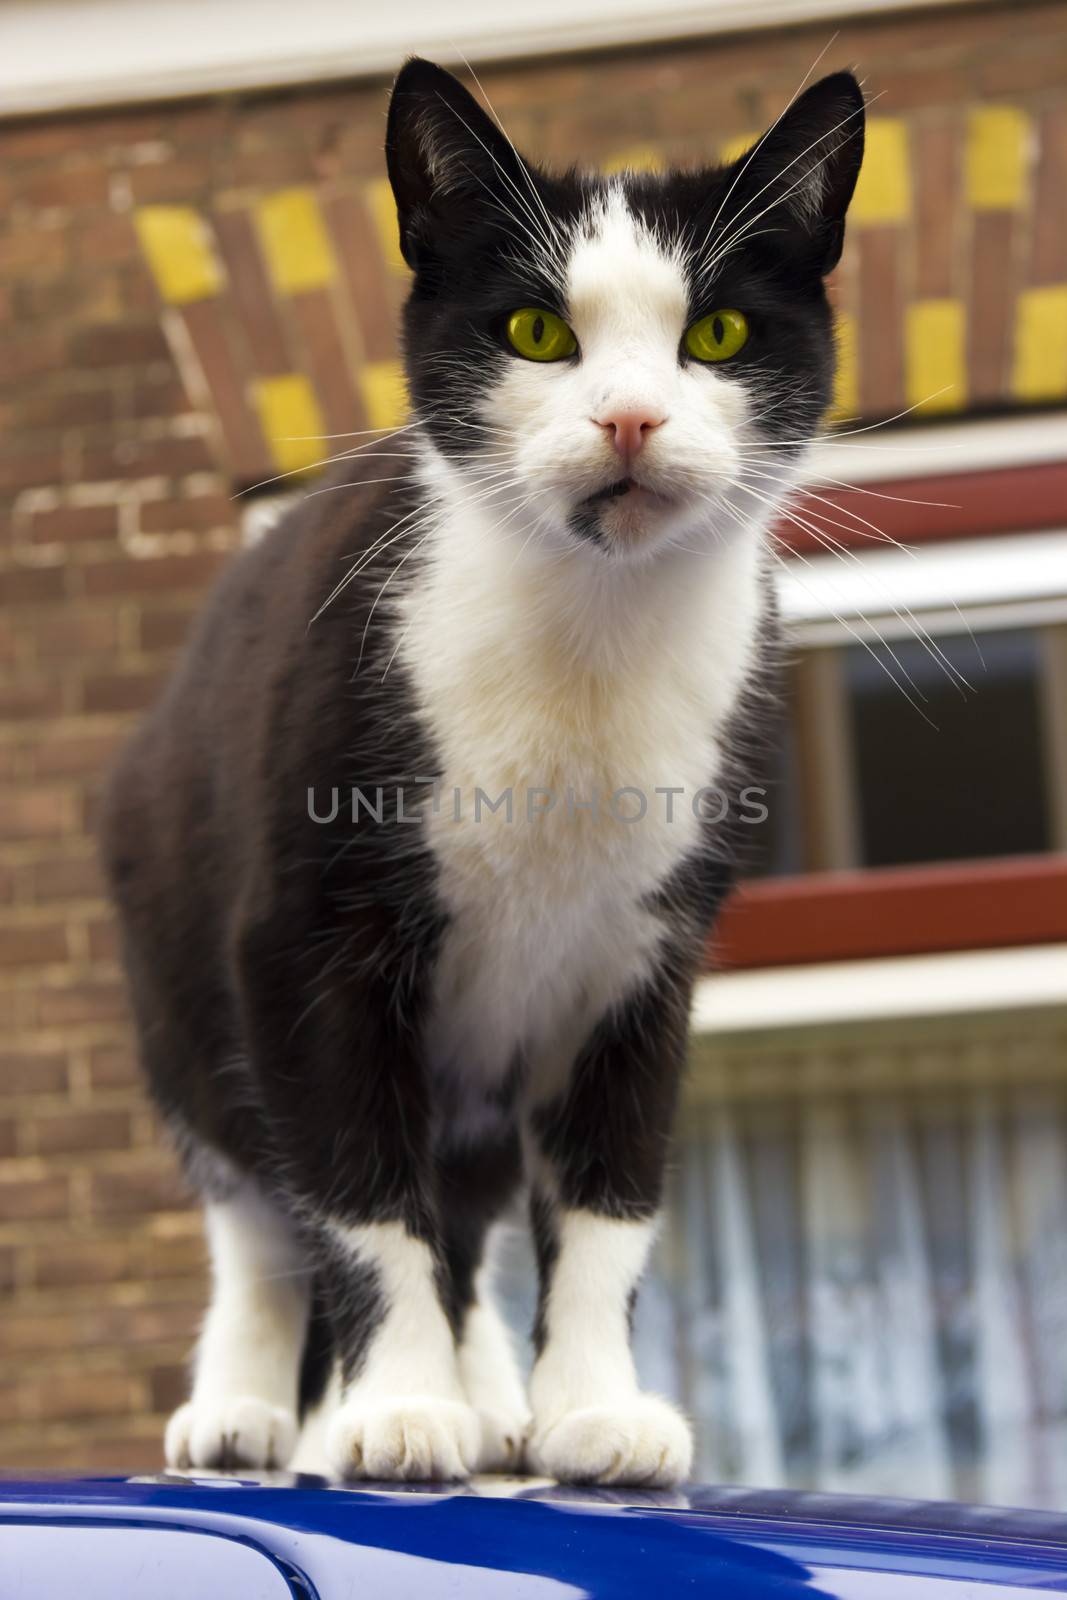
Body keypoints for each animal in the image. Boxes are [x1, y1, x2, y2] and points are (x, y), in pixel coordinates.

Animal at [103, 59, 863, 1484]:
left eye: (718, 333)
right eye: (535, 331)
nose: (629, 417)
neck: (590, 642)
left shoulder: (645, 958)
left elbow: (610, 1194)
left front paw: (590, 1410)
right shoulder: (306, 944)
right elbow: (354, 1194)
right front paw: (398, 1405)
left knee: (464, 1214)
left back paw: (494, 1398)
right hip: (176, 974)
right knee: (259, 1211)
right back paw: (254, 1409)